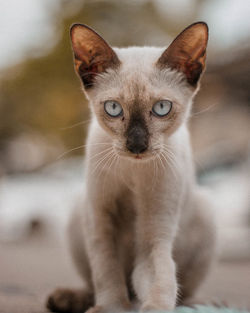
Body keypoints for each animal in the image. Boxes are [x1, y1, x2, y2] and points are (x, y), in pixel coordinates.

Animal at [47, 22, 216, 312]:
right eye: (114, 108)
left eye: (162, 108)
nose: (137, 145)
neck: (133, 173)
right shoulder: (100, 221)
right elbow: (106, 273)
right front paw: (110, 308)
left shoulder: (153, 235)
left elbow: (160, 280)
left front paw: (152, 306)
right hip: (77, 215)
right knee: (96, 284)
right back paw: (66, 298)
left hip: (206, 215)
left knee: (179, 291)